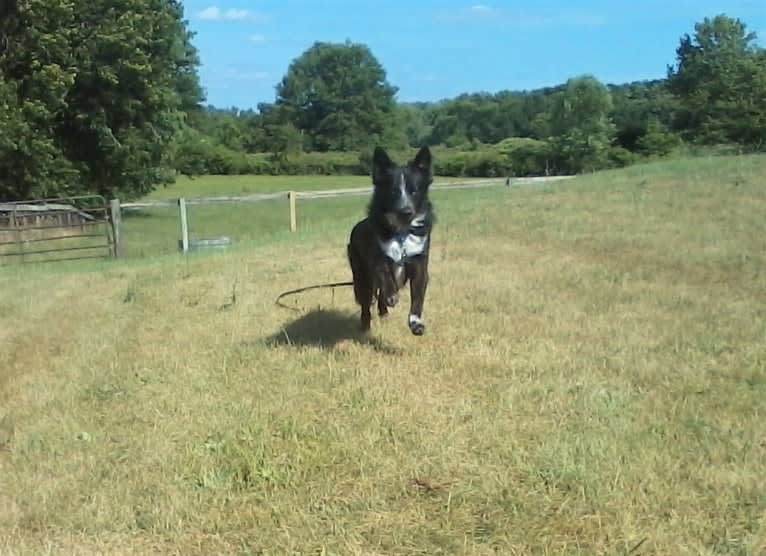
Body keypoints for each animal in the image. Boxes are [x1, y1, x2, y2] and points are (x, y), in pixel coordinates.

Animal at [350, 146, 436, 334]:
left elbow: (418, 296)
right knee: (366, 302)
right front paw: (392, 296)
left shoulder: (419, 262)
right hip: (361, 275)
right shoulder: (377, 257)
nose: (406, 211)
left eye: (414, 191)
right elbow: (384, 273)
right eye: (393, 191)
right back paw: (366, 324)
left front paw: (416, 323)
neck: (401, 233)